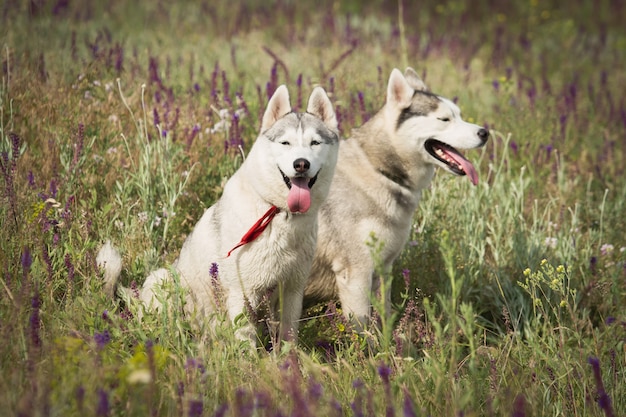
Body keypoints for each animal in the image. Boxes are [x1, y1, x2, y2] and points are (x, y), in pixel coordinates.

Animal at [98, 84, 338, 342]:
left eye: (315, 143)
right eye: (285, 143)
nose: (301, 164)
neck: (278, 214)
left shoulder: (292, 289)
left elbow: (288, 337)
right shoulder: (243, 292)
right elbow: (245, 339)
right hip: (163, 280)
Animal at [302, 66, 488, 324]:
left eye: (459, 115)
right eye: (444, 119)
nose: (485, 133)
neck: (380, 170)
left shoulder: (384, 269)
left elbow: (385, 317)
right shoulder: (356, 274)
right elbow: (361, 328)